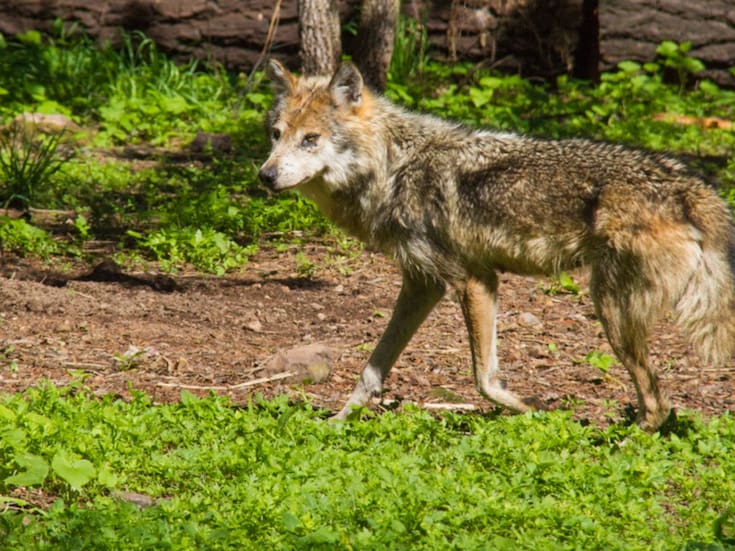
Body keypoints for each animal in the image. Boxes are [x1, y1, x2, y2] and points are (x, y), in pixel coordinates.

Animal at [259, 59, 735, 431]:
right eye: (276, 135)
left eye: (310, 139)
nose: (264, 176)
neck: (392, 168)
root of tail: (690, 185)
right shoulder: (422, 284)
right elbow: (372, 369)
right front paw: (339, 421)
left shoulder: (474, 279)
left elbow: (484, 379)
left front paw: (537, 409)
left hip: (612, 311)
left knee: (657, 403)